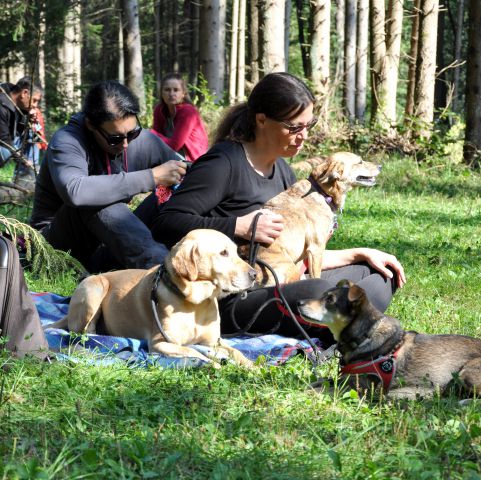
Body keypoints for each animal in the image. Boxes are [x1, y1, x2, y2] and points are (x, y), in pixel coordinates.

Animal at [44, 231, 255, 366]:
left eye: (236, 251)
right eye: (223, 253)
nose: (254, 275)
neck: (196, 304)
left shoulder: (214, 342)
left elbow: (236, 352)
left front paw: (253, 367)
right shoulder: (160, 343)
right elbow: (194, 352)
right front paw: (216, 365)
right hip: (94, 287)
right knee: (83, 332)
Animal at [240, 154, 378, 286]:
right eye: (360, 162)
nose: (380, 166)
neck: (322, 192)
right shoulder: (316, 249)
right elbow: (316, 275)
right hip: (291, 270)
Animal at [296, 280, 480, 400]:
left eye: (330, 300)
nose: (298, 302)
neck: (365, 336)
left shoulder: (358, 387)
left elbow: (318, 389)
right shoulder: (344, 379)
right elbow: (318, 382)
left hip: (466, 373)